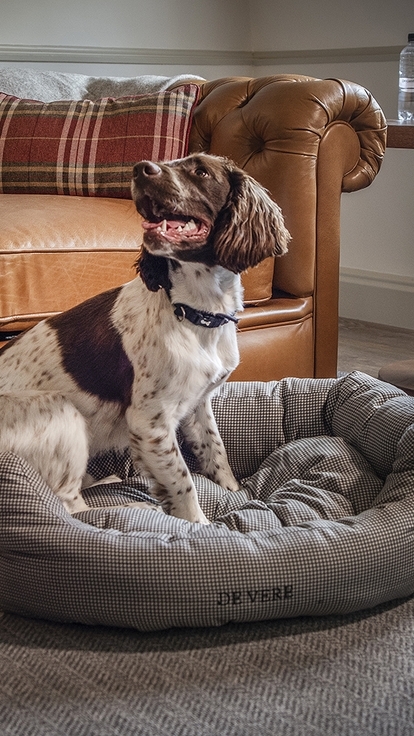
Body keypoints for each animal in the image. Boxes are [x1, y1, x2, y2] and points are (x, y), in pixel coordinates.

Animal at [0, 155, 290, 524]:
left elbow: (217, 453)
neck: (194, 313)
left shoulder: (198, 403)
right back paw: (132, 507)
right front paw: (200, 526)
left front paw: (234, 493)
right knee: (68, 507)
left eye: (201, 171)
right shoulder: (150, 423)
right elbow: (183, 483)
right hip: (60, 410)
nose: (140, 169)